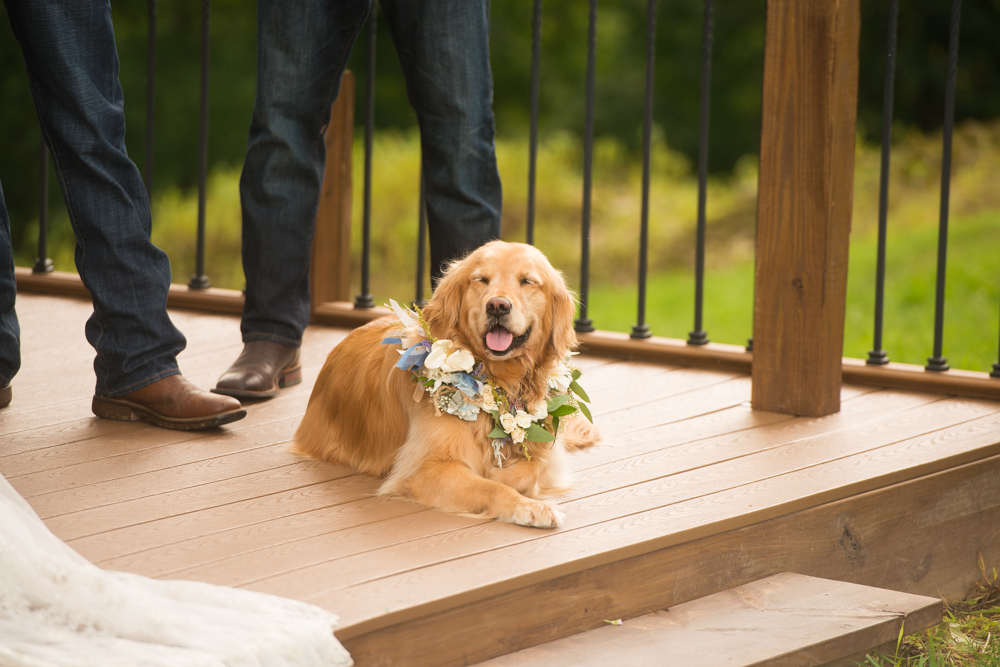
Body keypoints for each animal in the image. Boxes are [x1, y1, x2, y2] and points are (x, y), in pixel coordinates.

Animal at [292, 240, 596, 528]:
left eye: (527, 281)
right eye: (481, 279)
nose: (497, 306)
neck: (501, 381)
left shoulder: (548, 453)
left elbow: (534, 468)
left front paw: (502, 473)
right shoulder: (425, 467)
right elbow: (492, 487)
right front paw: (529, 506)